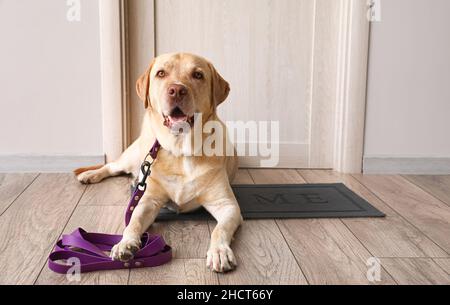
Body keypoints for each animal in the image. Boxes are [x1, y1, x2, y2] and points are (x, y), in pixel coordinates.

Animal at [74, 52, 243, 270]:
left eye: (198, 75)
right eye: (161, 73)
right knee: (111, 166)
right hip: (132, 156)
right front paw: (125, 243)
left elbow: (219, 229)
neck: (180, 151)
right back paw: (90, 175)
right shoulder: (148, 200)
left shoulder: (227, 205)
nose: (177, 90)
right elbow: (133, 221)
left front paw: (219, 252)